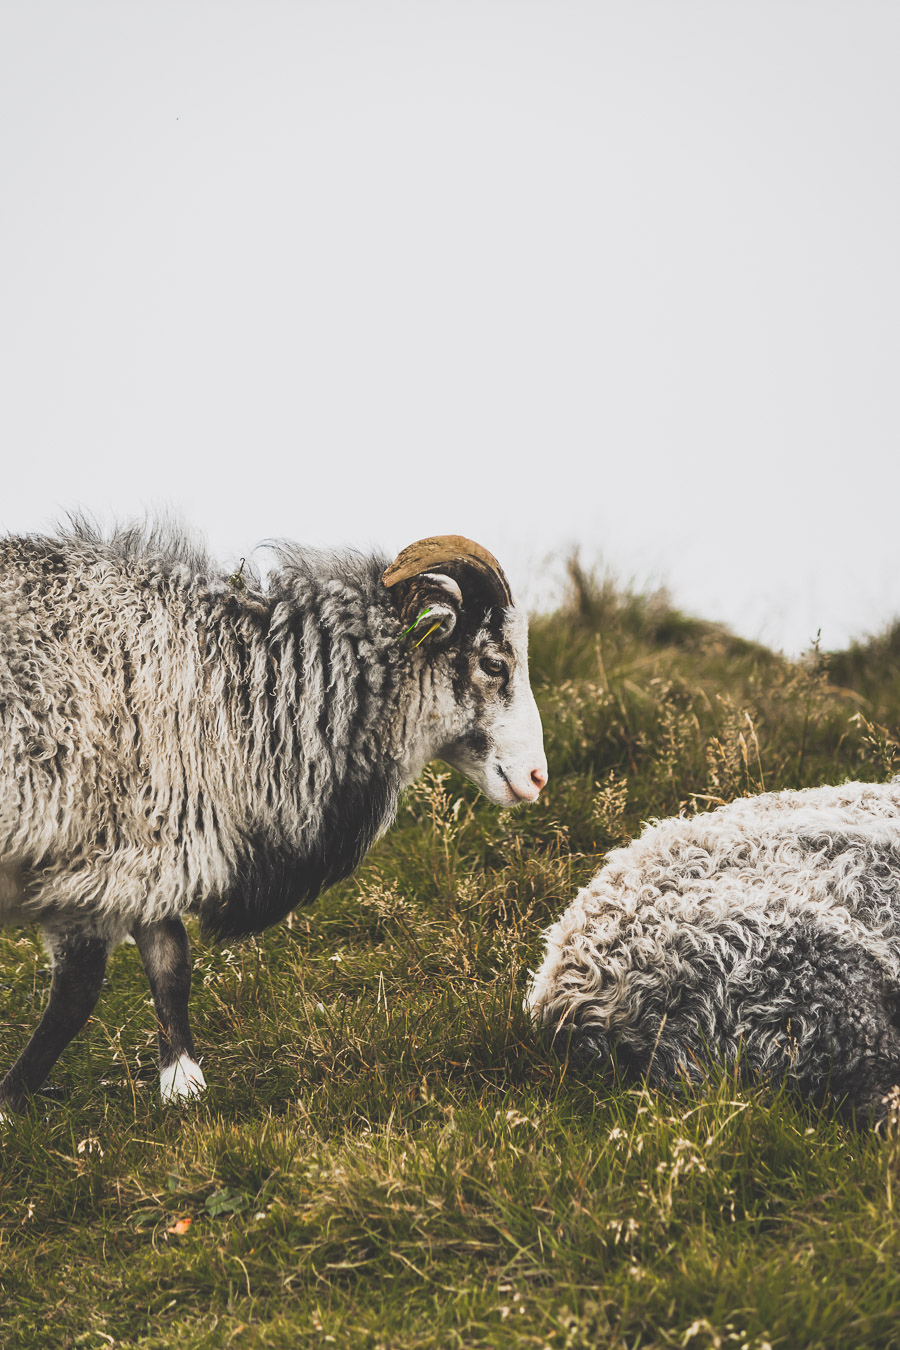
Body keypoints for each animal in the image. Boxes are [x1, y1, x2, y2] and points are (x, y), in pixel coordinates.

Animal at [0, 521, 550, 1112]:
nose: (538, 777)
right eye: (495, 664)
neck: (230, 686)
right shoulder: (91, 856)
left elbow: (169, 961)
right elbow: (79, 991)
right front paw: (12, 1101)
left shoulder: (148, 845)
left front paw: (181, 1079)